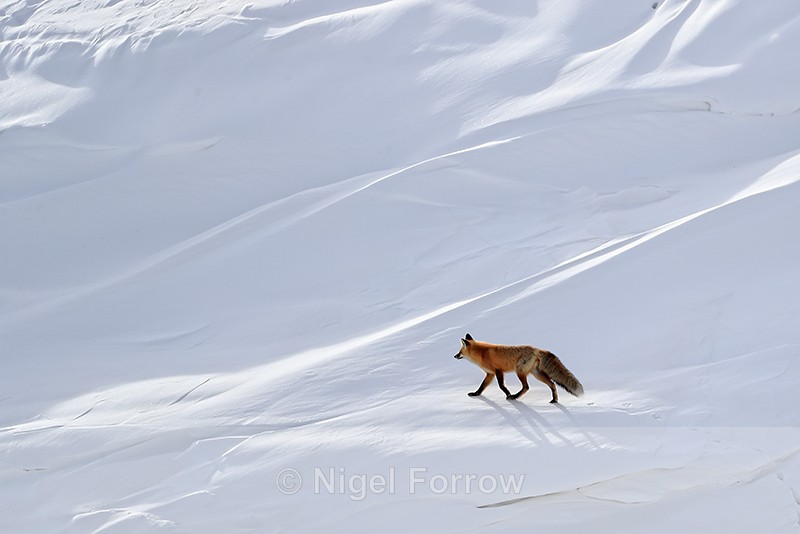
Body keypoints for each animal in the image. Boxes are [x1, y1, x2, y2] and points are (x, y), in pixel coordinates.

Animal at [453, 333, 584, 403]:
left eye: (459, 352)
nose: (454, 356)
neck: (481, 354)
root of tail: (537, 349)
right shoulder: (490, 374)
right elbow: (481, 387)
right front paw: (476, 394)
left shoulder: (498, 371)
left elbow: (501, 386)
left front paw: (508, 394)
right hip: (536, 374)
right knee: (552, 384)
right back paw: (554, 400)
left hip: (519, 372)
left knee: (526, 387)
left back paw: (514, 396)